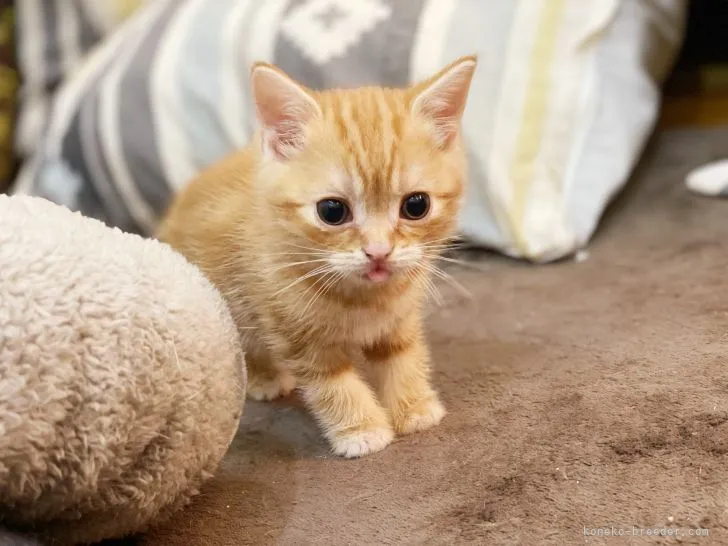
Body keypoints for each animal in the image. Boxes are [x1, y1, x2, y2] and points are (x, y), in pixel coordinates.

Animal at [159, 54, 478, 454]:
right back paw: (265, 377)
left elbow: (402, 356)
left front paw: (414, 406)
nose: (378, 252)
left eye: (416, 205)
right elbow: (335, 384)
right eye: (332, 211)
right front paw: (362, 429)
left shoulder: (400, 316)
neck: (363, 298)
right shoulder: (296, 333)